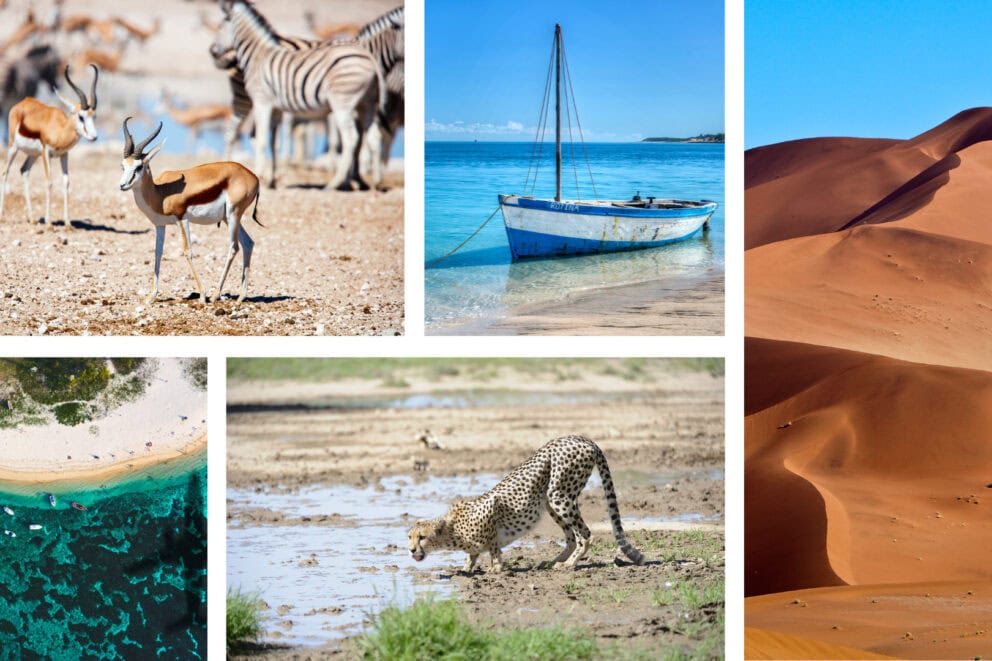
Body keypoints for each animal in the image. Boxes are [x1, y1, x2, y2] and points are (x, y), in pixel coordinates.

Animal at [0, 64, 98, 229]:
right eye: (81, 116)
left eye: (94, 116)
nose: (94, 137)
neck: (60, 129)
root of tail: (21, 104)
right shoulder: (47, 153)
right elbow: (50, 182)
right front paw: (49, 222)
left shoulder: (64, 155)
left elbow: (66, 182)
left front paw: (67, 223)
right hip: (13, 147)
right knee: (5, 172)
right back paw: (2, 216)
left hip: (33, 155)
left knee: (24, 170)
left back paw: (32, 218)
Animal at [118, 118, 261, 305]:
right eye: (123, 166)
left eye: (139, 166)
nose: (122, 185)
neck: (160, 194)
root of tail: (253, 177)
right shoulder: (160, 225)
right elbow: (158, 253)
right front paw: (151, 297)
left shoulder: (182, 218)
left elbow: (188, 251)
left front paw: (202, 295)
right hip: (228, 218)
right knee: (248, 243)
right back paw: (241, 296)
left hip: (233, 214)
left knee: (234, 247)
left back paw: (214, 295)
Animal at [212, 0, 382, 191]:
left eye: (220, 26)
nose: (213, 51)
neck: (258, 54)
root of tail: (370, 60)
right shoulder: (276, 108)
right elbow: (273, 142)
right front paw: (271, 180)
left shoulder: (262, 101)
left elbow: (262, 140)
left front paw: (261, 176)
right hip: (367, 104)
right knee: (374, 137)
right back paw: (375, 182)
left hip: (342, 104)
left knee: (351, 138)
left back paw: (336, 182)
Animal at [407, 434, 645, 573]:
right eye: (409, 537)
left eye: (422, 537)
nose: (410, 550)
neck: (452, 530)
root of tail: (583, 439)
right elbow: (473, 554)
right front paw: (467, 567)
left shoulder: (491, 509)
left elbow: (493, 546)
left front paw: (496, 568)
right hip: (550, 501)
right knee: (570, 537)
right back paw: (551, 561)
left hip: (558, 495)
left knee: (585, 534)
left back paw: (569, 564)